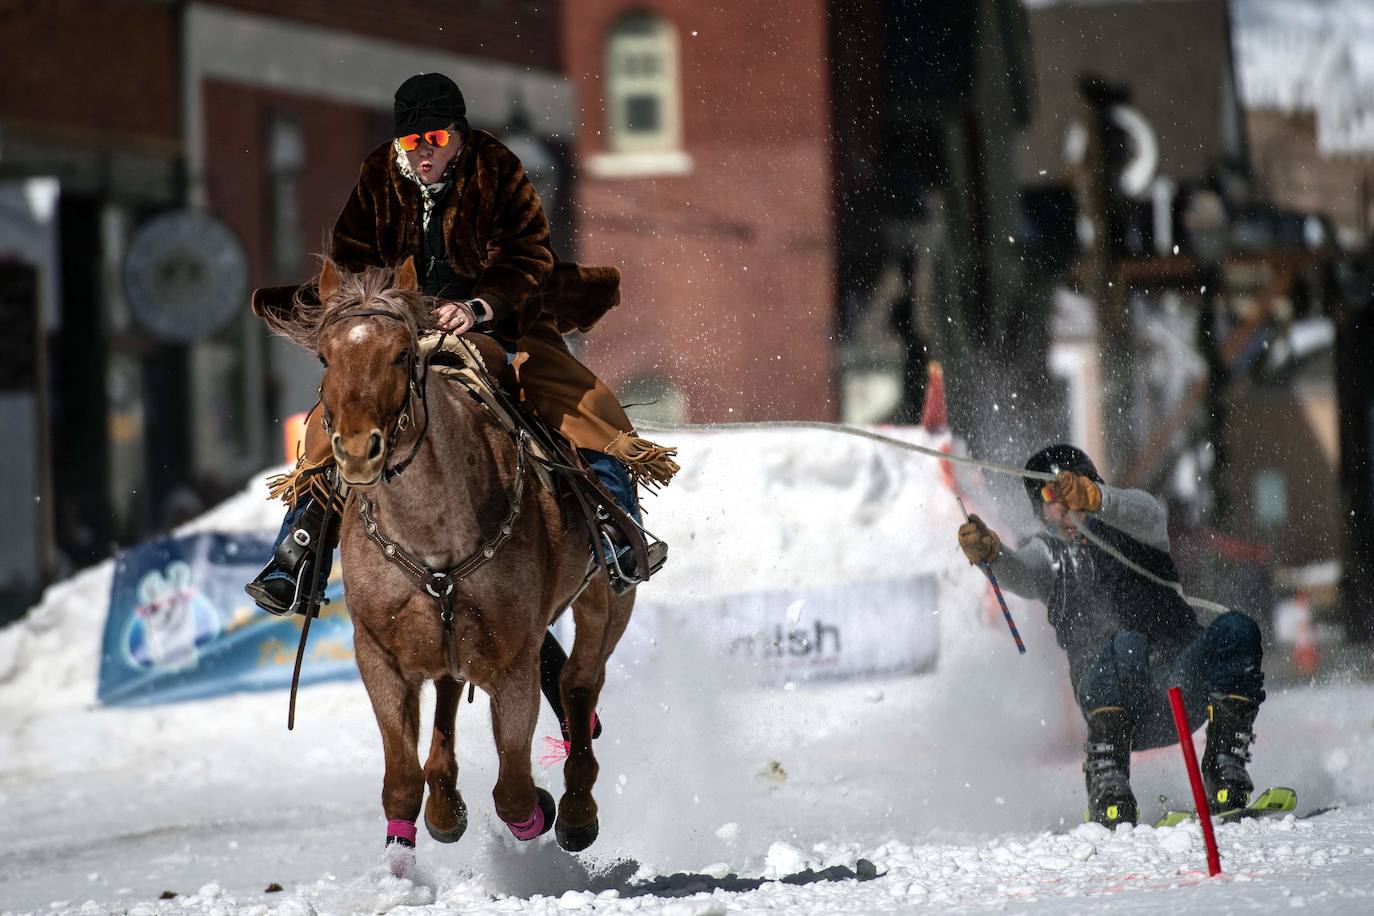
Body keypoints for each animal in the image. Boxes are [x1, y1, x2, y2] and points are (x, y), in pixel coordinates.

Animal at [259, 256, 634, 862]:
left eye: (401, 354)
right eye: (324, 357)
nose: (358, 450)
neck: (431, 534)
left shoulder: (514, 660)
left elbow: (513, 789)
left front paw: (540, 810)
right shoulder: (379, 654)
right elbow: (402, 779)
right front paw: (407, 850)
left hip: (606, 600)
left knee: (579, 684)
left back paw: (576, 809)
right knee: (452, 695)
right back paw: (447, 803)